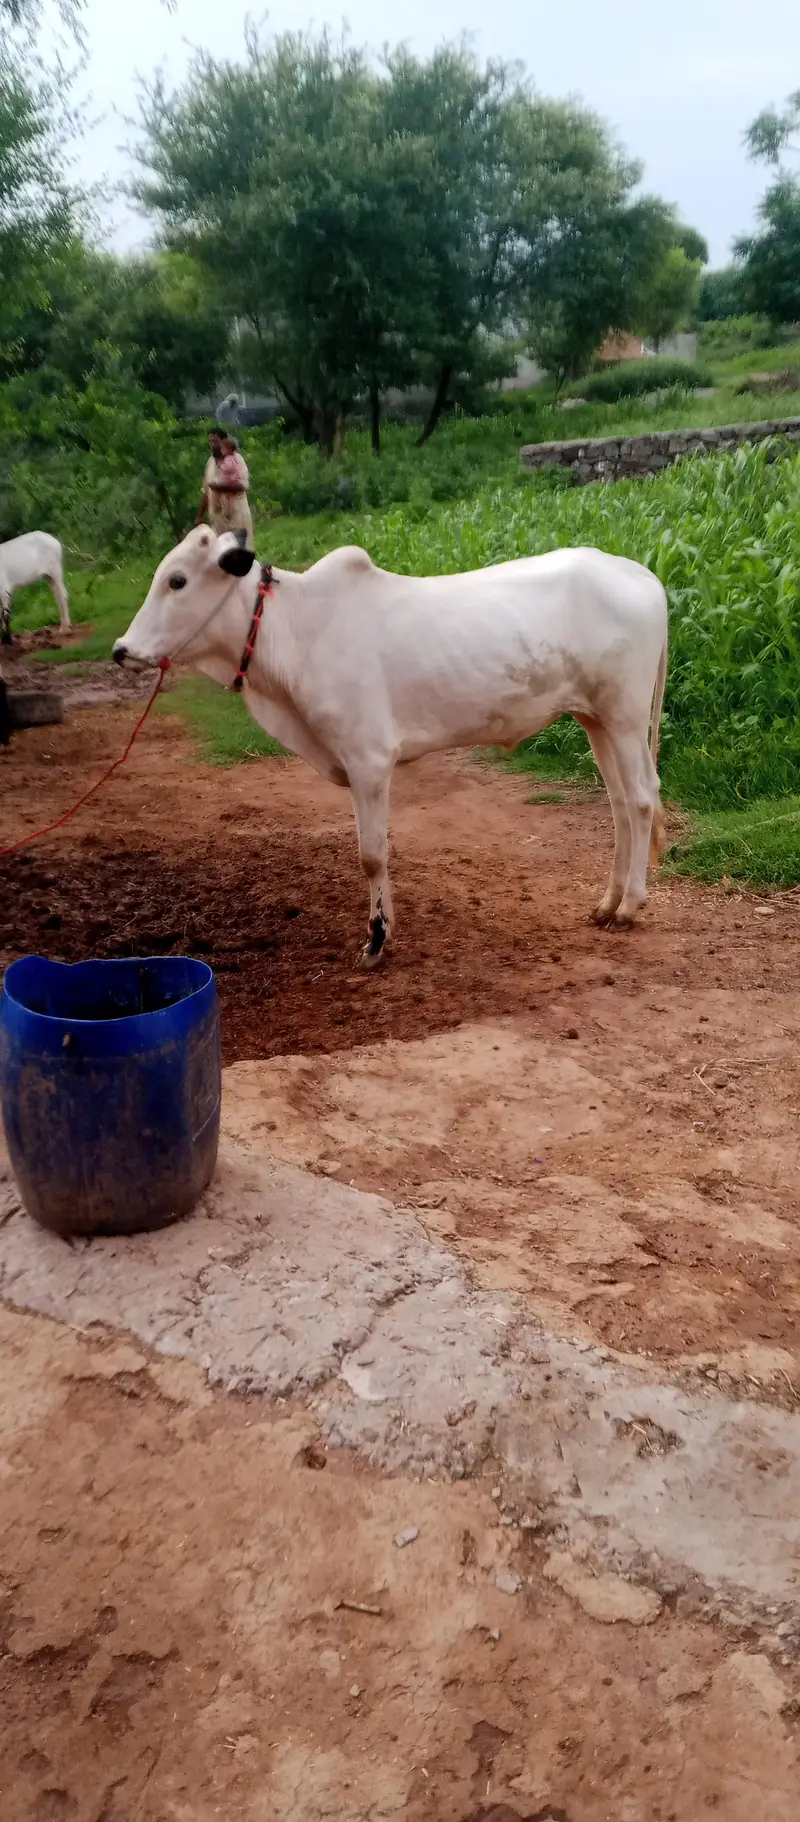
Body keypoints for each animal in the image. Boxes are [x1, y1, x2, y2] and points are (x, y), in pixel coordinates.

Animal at [113, 528, 669, 968]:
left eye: (177, 580)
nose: (121, 650)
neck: (295, 633)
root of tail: (644, 576)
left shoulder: (369, 761)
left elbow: (371, 856)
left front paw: (377, 940)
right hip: (595, 719)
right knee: (621, 803)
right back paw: (607, 902)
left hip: (624, 716)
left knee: (642, 799)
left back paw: (629, 907)